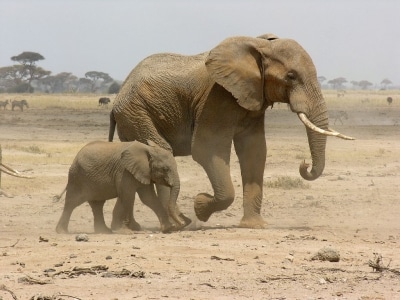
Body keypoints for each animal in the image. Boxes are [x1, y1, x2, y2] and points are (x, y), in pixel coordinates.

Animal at [54, 141, 186, 234]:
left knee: (97, 205)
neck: (148, 149)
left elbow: (148, 198)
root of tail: (76, 157)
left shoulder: (143, 172)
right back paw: (62, 232)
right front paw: (124, 231)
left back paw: (104, 231)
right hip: (77, 177)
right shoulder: (124, 171)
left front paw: (168, 228)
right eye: (165, 169)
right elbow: (127, 196)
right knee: (72, 202)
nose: (182, 223)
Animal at [109, 34, 354, 229]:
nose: (304, 165)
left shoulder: (253, 98)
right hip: (136, 113)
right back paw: (174, 225)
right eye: (291, 76)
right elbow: (207, 149)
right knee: (162, 151)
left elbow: (255, 152)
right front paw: (200, 207)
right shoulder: (217, 97)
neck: (259, 45)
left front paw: (255, 226)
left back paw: (140, 226)